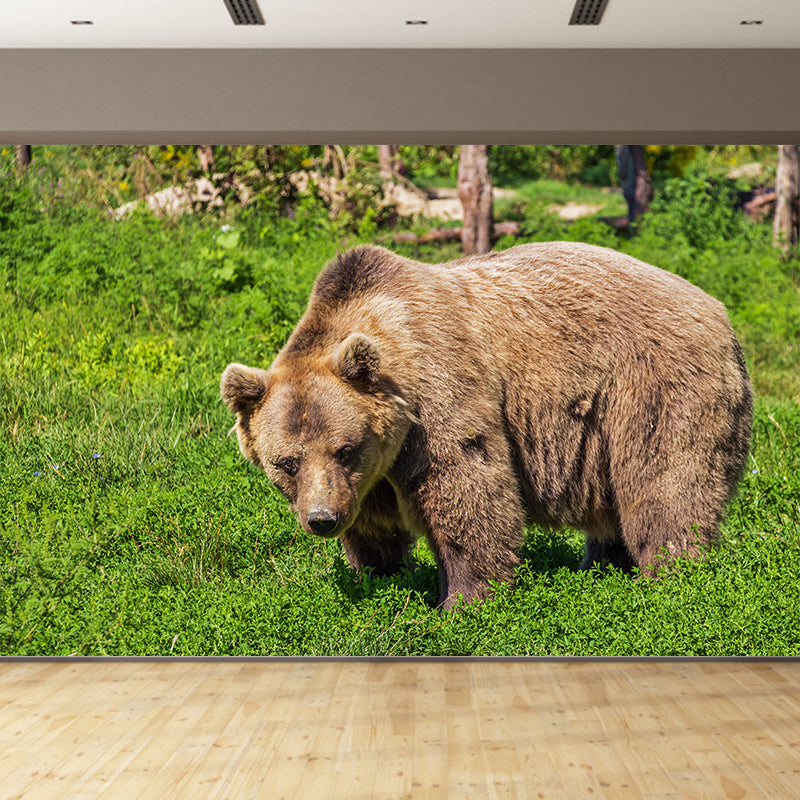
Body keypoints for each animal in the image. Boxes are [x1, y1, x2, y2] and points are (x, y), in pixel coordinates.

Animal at [221, 242, 753, 610]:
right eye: (286, 462)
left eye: (344, 448)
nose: (322, 519)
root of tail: (720, 311)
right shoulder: (370, 474)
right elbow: (374, 526)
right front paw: (380, 575)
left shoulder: (438, 396)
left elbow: (467, 489)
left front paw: (463, 600)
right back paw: (601, 567)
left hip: (653, 387)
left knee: (665, 484)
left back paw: (670, 575)